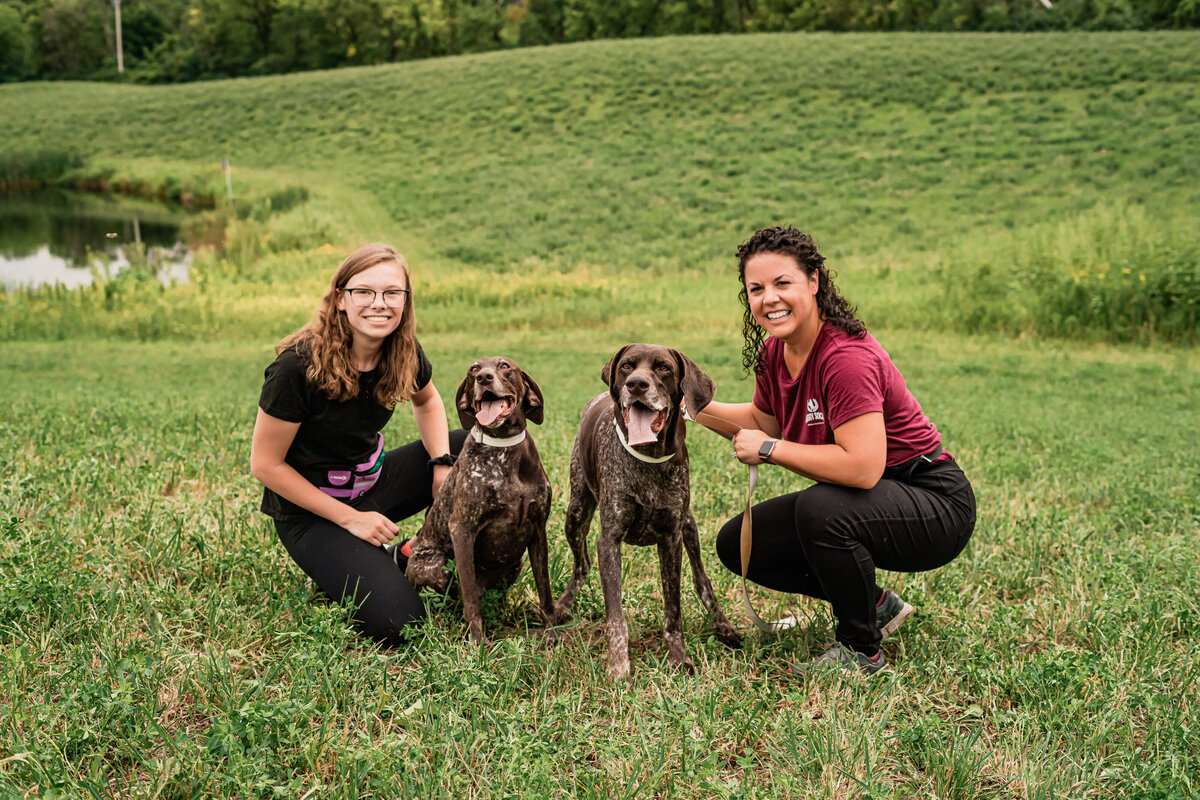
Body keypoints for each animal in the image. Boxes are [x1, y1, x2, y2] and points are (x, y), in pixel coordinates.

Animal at [403, 357, 552, 642]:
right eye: (473, 369)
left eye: (505, 366)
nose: (483, 377)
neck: (504, 449)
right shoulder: (463, 529)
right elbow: (470, 595)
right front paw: (477, 642)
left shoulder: (538, 529)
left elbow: (545, 588)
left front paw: (552, 629)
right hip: (436, 565)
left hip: (515, 562)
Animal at [552, 340, 739, 681]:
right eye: (627, 365)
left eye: (663, 367)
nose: (636, 384)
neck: (647, 458)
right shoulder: (609, 540)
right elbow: (616, 616)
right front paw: (618, 665)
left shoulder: (671, 538)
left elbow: (674, 610)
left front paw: (679, 658)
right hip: (576, 512)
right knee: (582, 563)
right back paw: (562, 606)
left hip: (689, 525)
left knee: (702, 579)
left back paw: (723, 625)